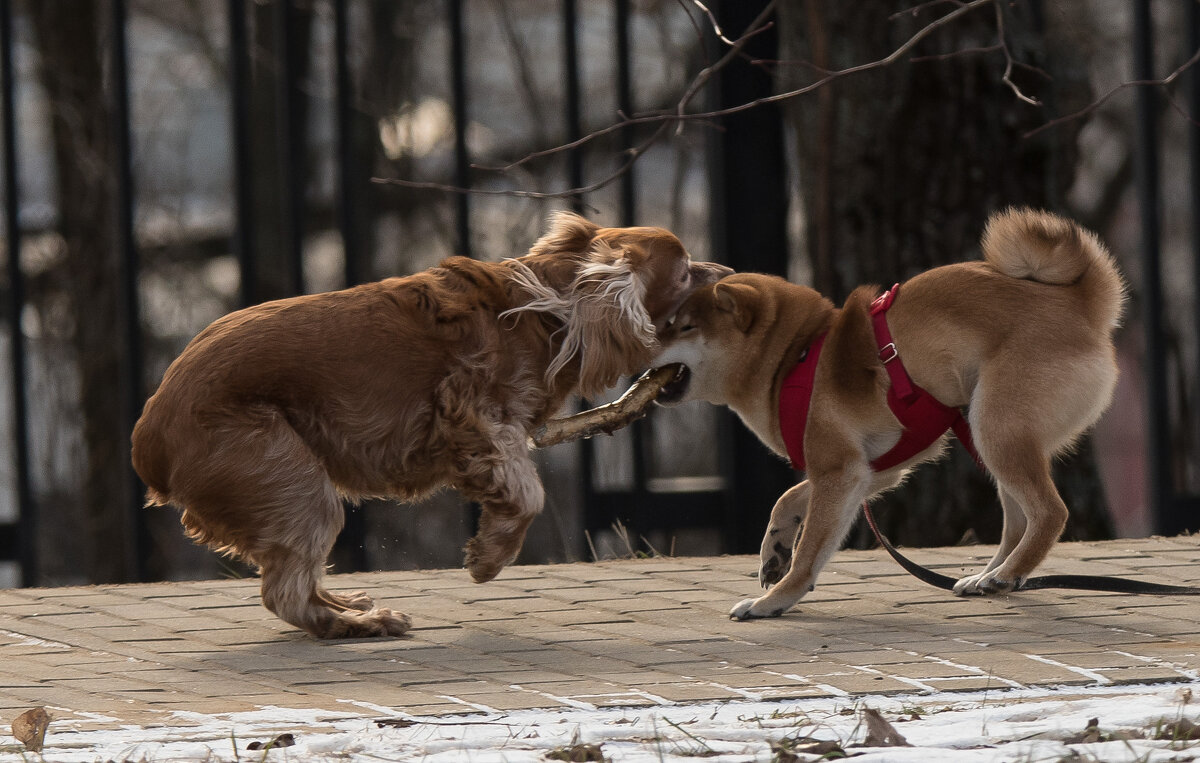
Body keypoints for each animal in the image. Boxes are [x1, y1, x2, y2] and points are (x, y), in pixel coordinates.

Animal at [133, 213, 729, 638]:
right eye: (683, 271)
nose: (726, 274)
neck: (547, 310)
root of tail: (148, 440)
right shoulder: (475, 418)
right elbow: (528, 494)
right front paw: (488, 557)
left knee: (292, 582)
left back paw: (350, 603)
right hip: (291, 480)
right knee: (285, 591)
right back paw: (360, 624)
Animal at [652, 208, 1128, 619]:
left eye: (685, 327)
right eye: (671, 323)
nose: (643, 341)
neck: (795, 357)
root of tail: (1082, 305)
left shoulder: (839, 471)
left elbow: (809, 552)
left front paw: (776, 599)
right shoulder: (870, 471)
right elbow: (788, 498)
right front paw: (775, 551)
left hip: (997, 430)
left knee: (1049, 514)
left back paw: (1007, 574)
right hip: (992, 437)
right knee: (1017, 523)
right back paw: (989, 577)